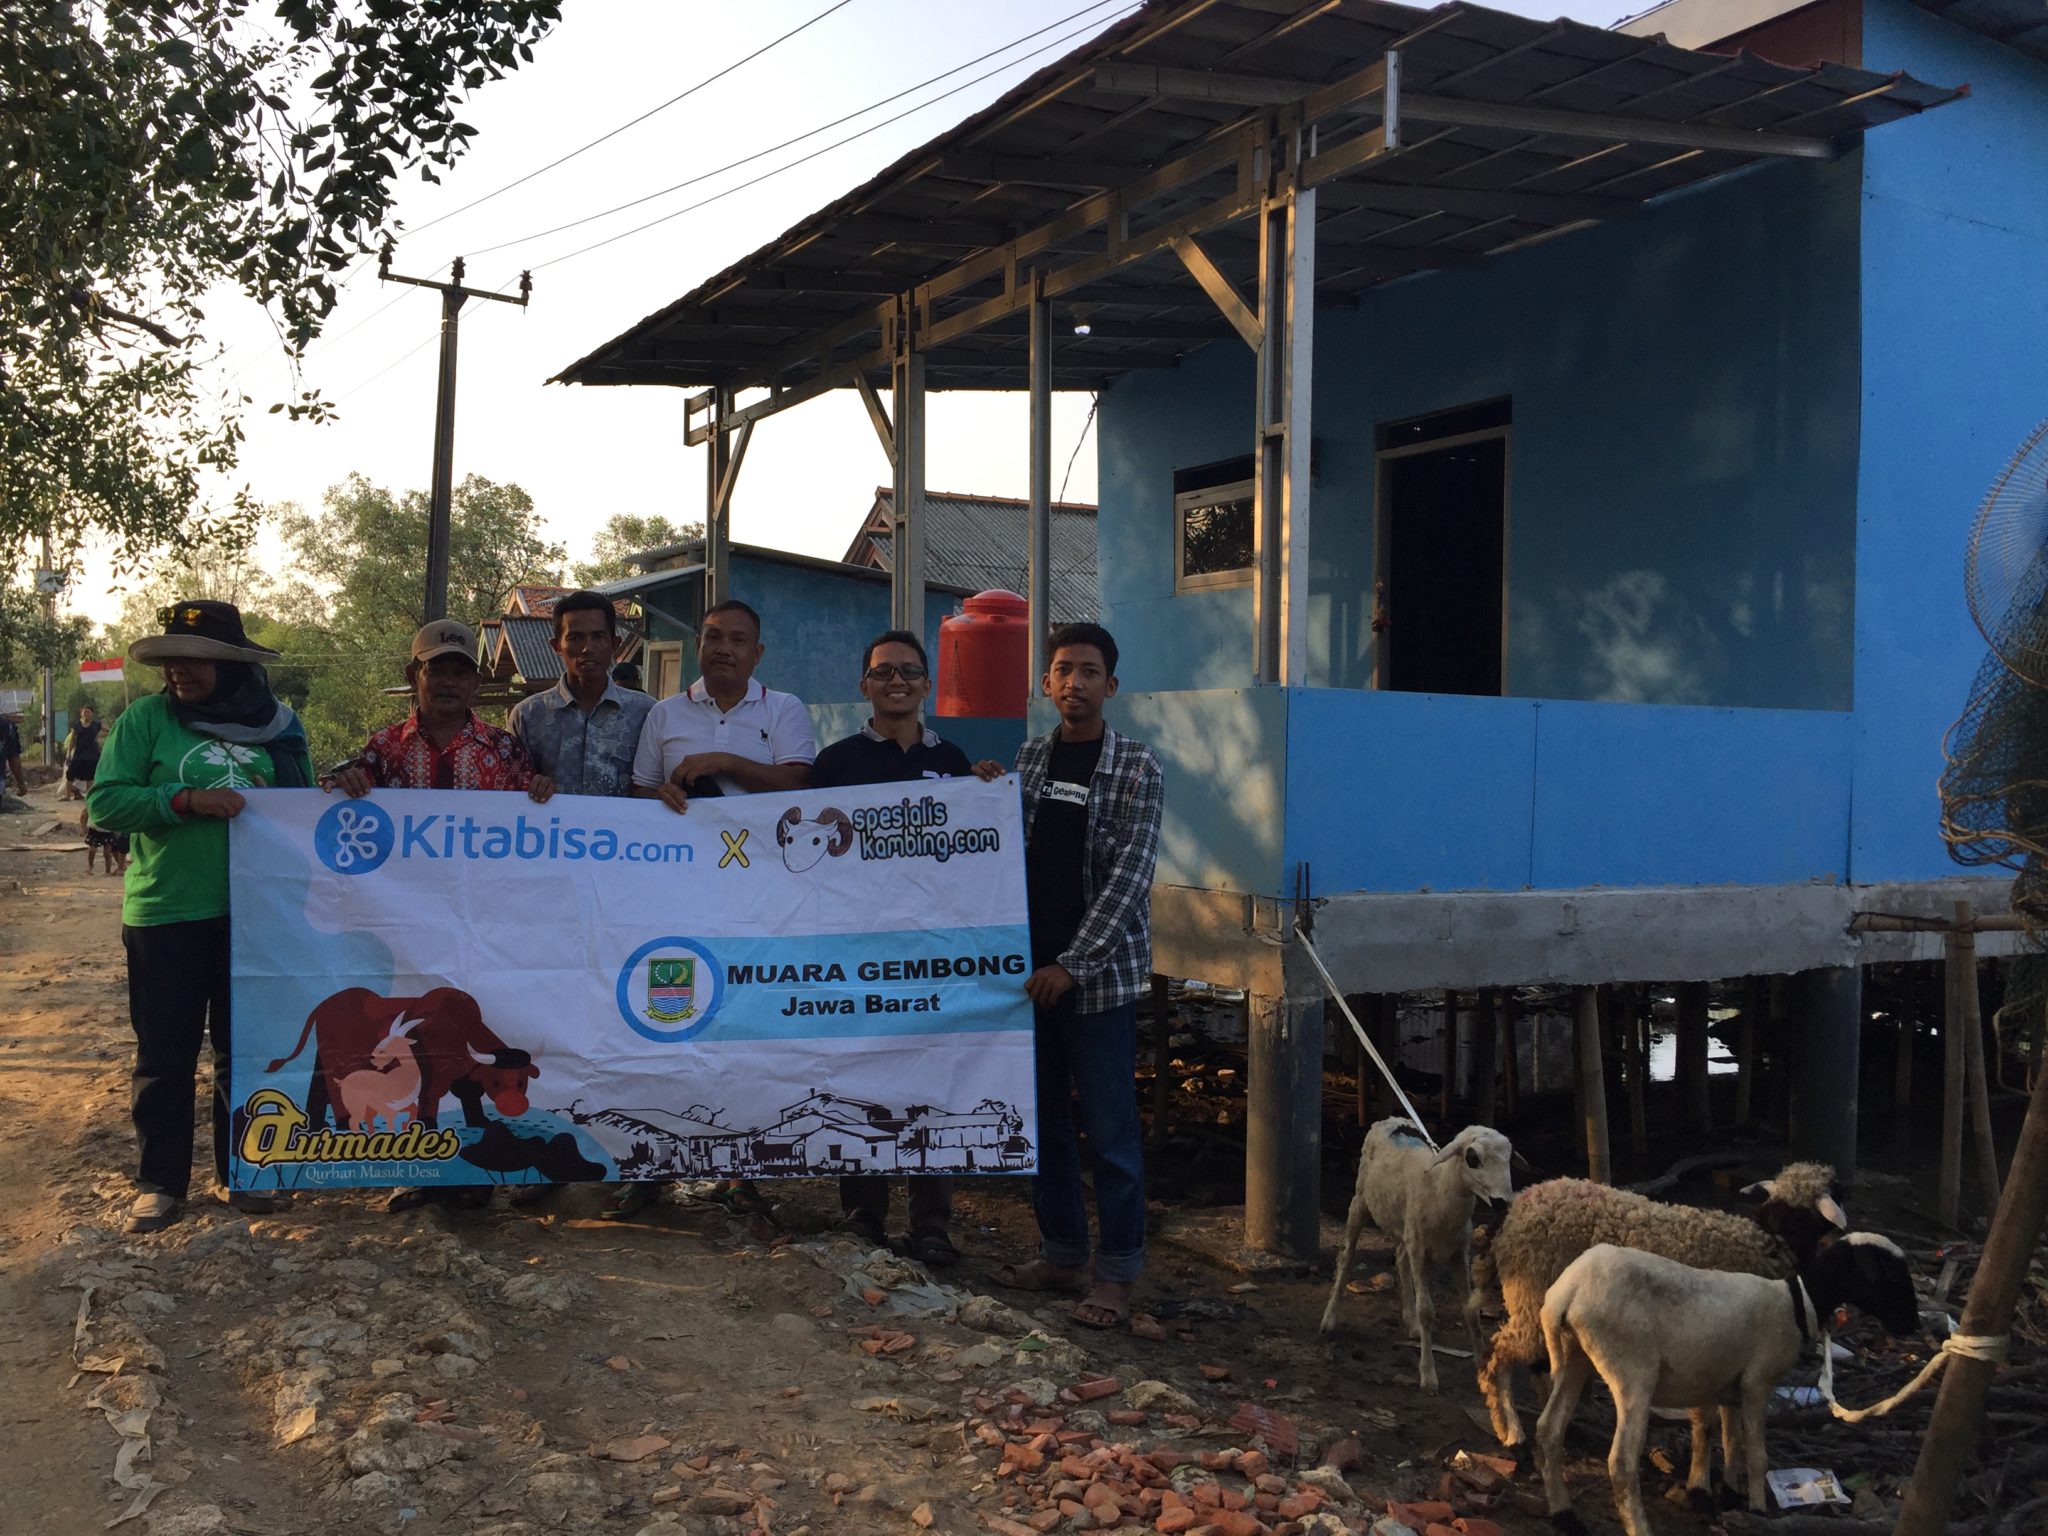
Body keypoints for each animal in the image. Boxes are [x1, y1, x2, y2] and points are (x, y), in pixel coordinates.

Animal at [1318, 1122, 1515, 1392]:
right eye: (1472, 1158)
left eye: (1509, 1158)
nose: (1502, 1202)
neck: (1440, 1188)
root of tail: (1393, 1120)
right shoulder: (1420, 1251)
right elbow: (1427, 1312)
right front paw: (1428, 1376)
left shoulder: (1459, 1254)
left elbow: (1471, 1311)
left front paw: (1482, 1364)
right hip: (1360, 1202)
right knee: (1346, 1257)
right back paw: (1329, 1320)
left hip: (1405, 1227)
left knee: (1401, 1256)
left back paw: (1411, 1325)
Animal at [1540, 1236, 1916, 1536]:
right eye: (1890, 1276)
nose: (1912, 1324)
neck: (1796, 1304)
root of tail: (1569, 1292)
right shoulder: (1757, 1382)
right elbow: (1757, 1455)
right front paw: (1757, 1509)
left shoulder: (1727, 1386)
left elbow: (1725, 1440)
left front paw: (1725, 1494)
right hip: (1632, 1370)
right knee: (1621, 1461)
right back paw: (1639, 1528)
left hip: (1574, 1357)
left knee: (1549, 1428)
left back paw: (1563, 1515)